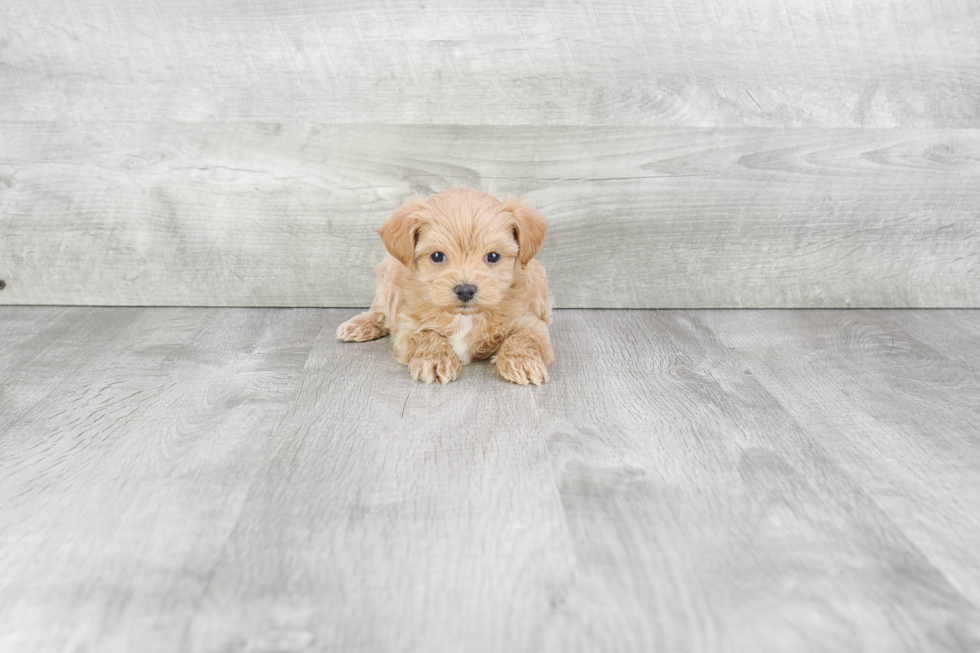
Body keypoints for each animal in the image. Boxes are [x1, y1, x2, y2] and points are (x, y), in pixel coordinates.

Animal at [334, 186, 552, 384]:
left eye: (493, 256)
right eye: (437, 256)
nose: (465, 290)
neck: (465, 317)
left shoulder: (530, 321)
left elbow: (525, 337)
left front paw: (522, 362)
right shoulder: (408, 327)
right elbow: (425, 334)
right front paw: (435, 359)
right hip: (386, 281)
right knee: (379, 309)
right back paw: (359, 325)